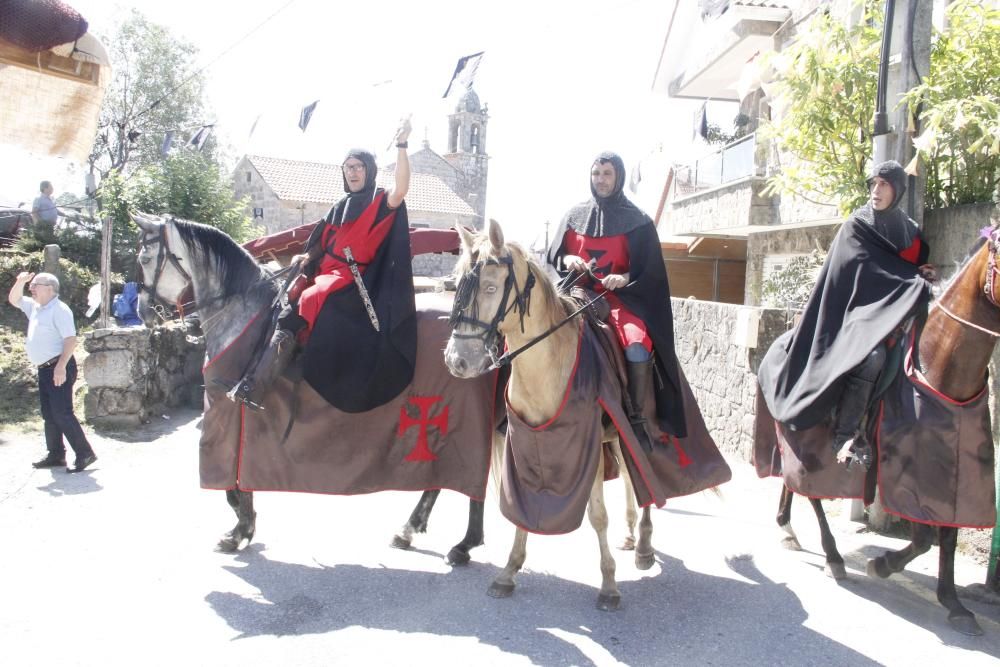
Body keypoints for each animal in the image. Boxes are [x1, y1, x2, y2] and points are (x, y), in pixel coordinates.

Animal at [133, 213, 496, 564]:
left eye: (146, 258)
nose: (144, 312)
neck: (242, 313)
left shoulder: (228, 408)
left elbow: (232, 480)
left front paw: (239, 530)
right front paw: (244, 527)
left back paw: (463, 544)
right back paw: (416, 531)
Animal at [760, 228, 996, 636]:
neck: (938, 368)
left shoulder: (950, 469)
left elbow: (946, 535)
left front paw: (954, 603)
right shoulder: (905, 471)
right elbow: (924, 537)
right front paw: (882, 564)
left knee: (791, 480)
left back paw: (787, 529)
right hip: (809, 442)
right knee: (812, 493)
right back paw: (832, 556)